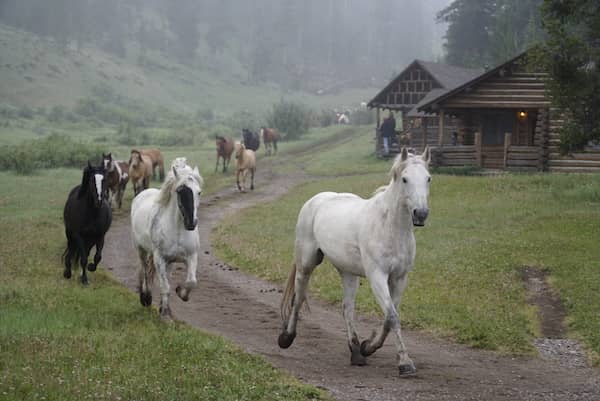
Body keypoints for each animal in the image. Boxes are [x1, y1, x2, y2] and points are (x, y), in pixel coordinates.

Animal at [130, 155, 203, 318]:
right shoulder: (160, 259)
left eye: (199, 192)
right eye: (180, 191)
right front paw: (165, 315)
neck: (177, 230)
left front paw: (181, 292)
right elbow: (165, 287)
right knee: (145, 270)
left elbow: (191, 282)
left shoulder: (191, 256)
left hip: (170, 262)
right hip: (141, 249)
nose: (191, 223)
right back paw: (146, 297)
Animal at [278, 147, 428, 376]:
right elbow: (392, 317)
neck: (389, 227)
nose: (421, 214)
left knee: (347, 308)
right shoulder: (377, 276)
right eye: (405, 179)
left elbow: (389, 317)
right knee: (299, 298)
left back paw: (356, 352)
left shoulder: (399, 278)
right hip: (306, 264)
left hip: (348, 273)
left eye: (428, 178)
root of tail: (315, 200)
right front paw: (405, 363)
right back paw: (287, 338)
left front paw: (368, 347)